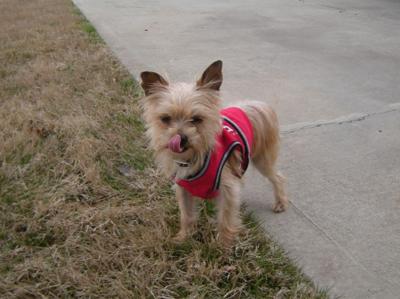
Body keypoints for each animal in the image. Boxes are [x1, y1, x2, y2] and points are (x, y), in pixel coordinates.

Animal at [141, 61, 288, 248]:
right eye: (165, 119)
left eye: (196, 119)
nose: (180, 138)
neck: (195, 157)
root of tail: (256, 105)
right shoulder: (183, 190)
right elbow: (186, 216)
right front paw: (183, 238)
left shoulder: (227, 189)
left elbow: (225, 219)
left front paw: (222, 247)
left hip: (262, 159)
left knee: (277, 177)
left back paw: (280, 202)